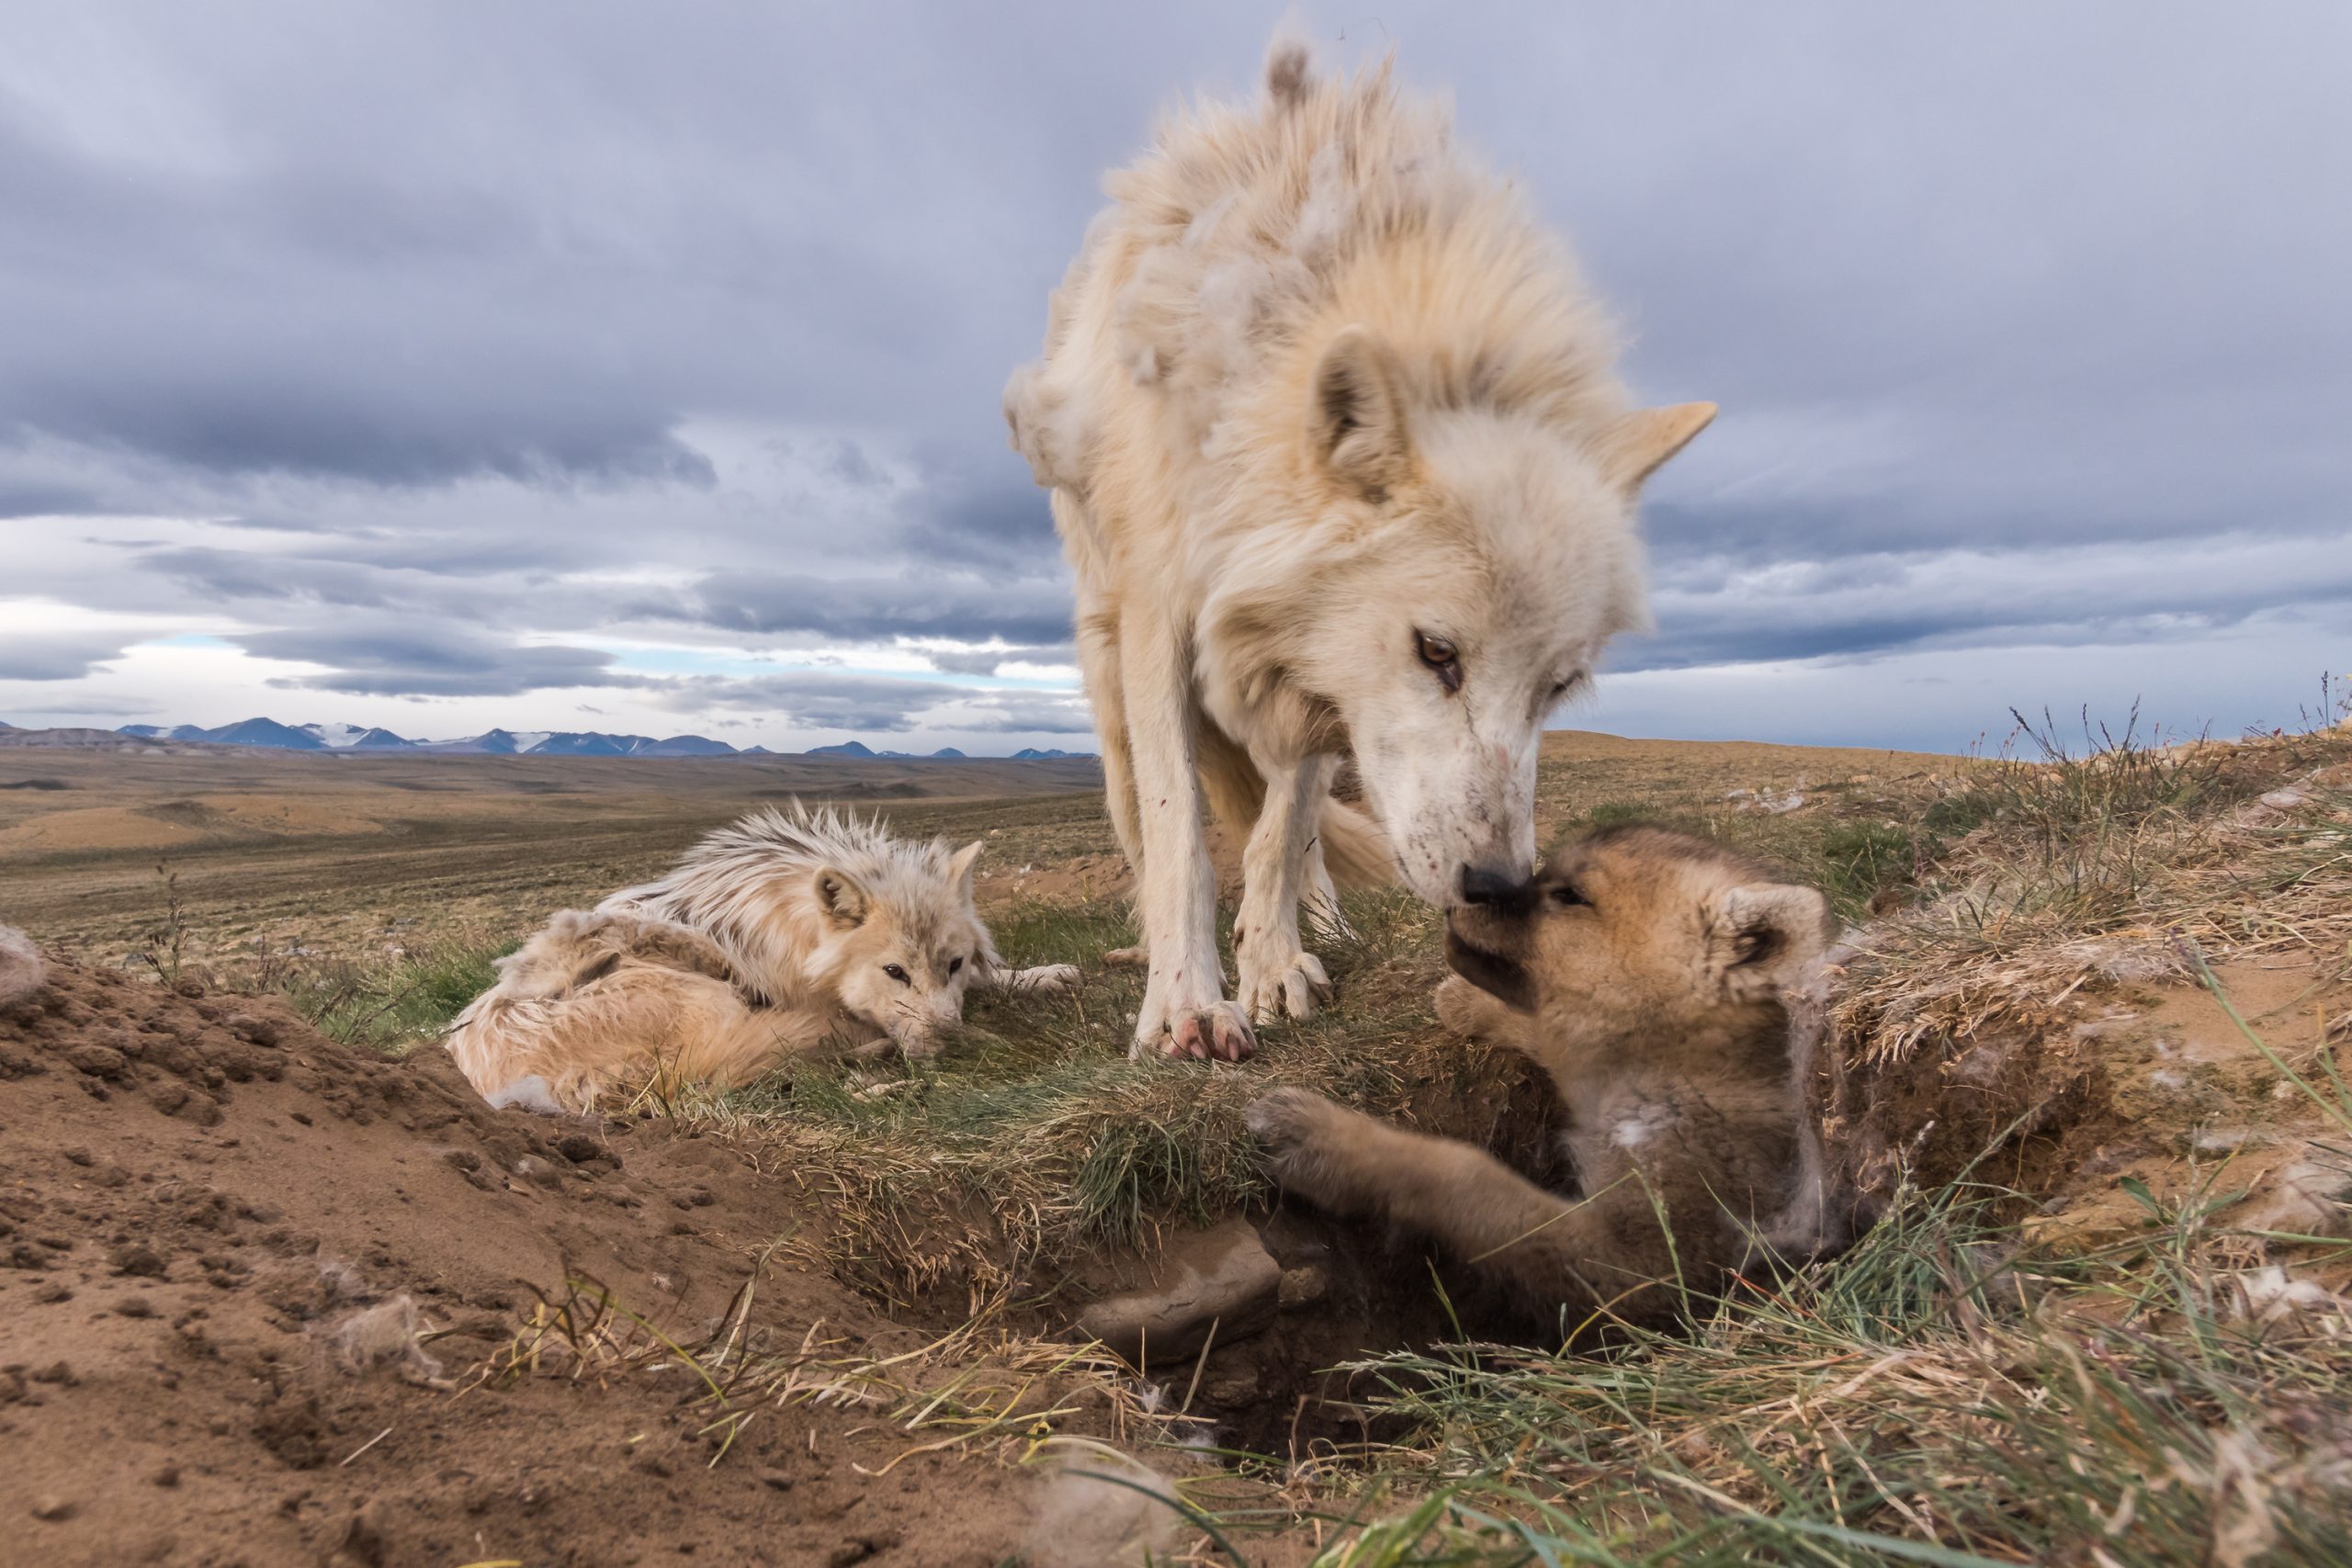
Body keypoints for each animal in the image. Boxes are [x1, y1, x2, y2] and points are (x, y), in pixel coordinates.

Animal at [1006, 39, 1712, 1066]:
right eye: (1436, 652)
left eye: (1559, 687)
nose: (1501, 885)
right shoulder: (1169, 610)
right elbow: (1183, 838)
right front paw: (1185, 1003)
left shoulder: (1313, 670)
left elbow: (1282, 828)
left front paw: (1272, 966)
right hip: (1103, 661)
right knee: (1140, 819)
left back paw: (1320, 926)